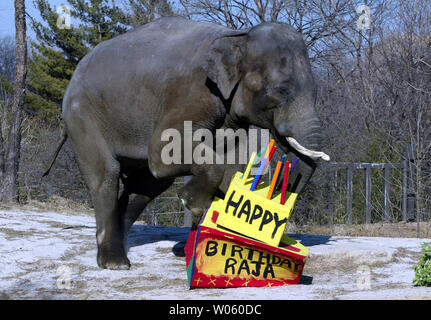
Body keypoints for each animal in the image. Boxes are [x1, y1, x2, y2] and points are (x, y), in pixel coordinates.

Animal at [44, 16, 330, 268]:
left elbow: (231, 163)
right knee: (107, 175)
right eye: (281, 91)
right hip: (82, 116)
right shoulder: (190, 92)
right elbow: (162, 152)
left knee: (148, 183)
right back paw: (115, 262)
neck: (235, 36)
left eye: (317, 91)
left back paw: (123, 246)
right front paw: (190, 203)